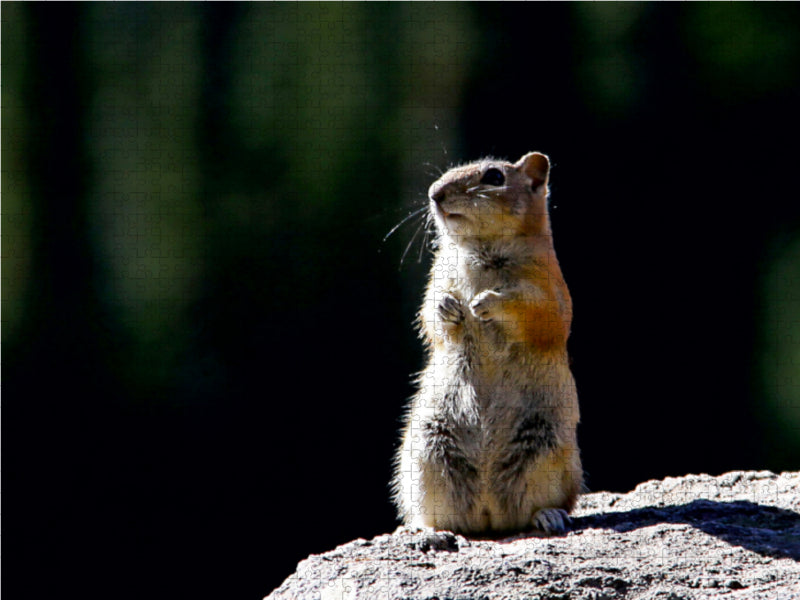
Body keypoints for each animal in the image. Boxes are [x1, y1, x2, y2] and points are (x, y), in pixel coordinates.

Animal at [392, 151, 583, 537]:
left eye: (494, 177)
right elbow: (430, 314)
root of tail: (489, 512)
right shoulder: (437, 277)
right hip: (427, 453)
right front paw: (449, 306)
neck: (479, 248)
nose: (435, 194)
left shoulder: (548, 290)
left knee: (537, 506)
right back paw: (430, 531)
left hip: (548, 451)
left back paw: (549, 516)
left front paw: (485, 302)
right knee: (443, 517)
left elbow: (535, 312)